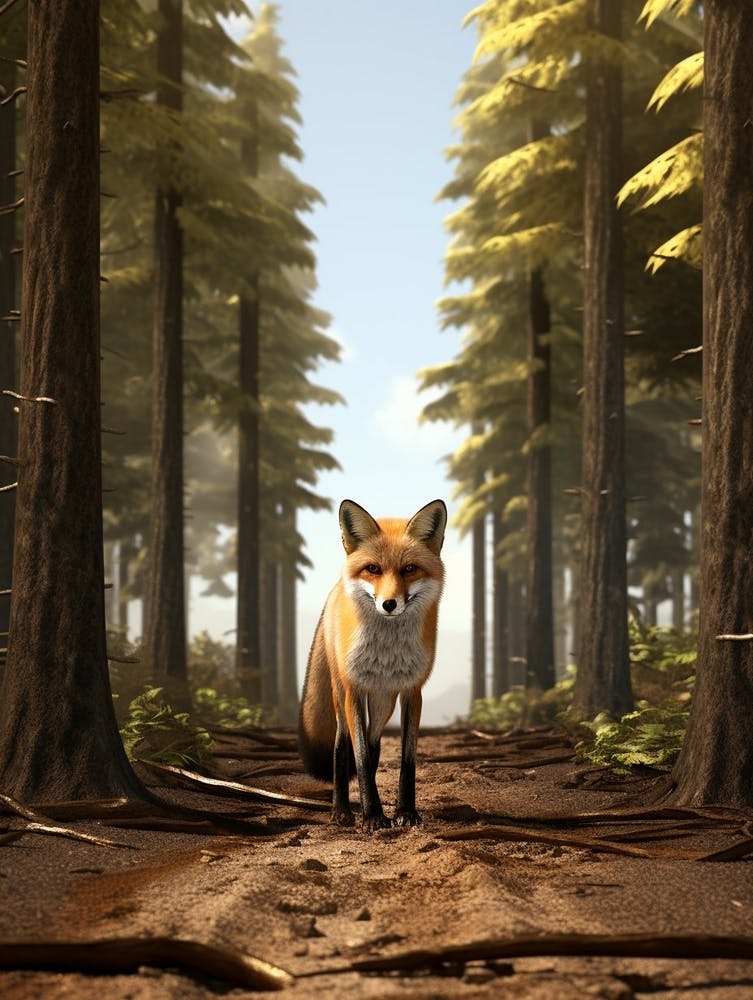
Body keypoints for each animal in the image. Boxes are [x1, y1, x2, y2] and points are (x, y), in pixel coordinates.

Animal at [299, 498, 447, 831]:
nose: (389, 604)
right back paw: (341, 811)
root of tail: (335, 590)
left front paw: (405, 812)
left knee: (372, 739)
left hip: (383, 702)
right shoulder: (354, 689)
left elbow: (406, 760)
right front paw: (372, 816)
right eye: (373, 569)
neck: (386, 651)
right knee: (344, 744)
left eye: (409, 569)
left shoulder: (412, 692)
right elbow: (361, 758)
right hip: (341, 694)